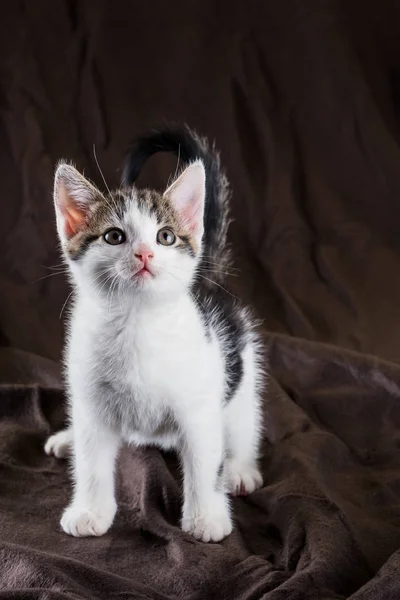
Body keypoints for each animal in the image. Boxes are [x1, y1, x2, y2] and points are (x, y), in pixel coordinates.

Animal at [45, 126, 264, 544]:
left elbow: (204, 464)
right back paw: (68, 437)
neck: (136, 323)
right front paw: (90, 511)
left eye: (165, 237)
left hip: (241, 369)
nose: (145, 253)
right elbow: (92, 461)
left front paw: (206, 517)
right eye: (114, 237)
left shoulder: (200, 406)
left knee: (243, 421)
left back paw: (240, 467)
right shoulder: (91, 399)